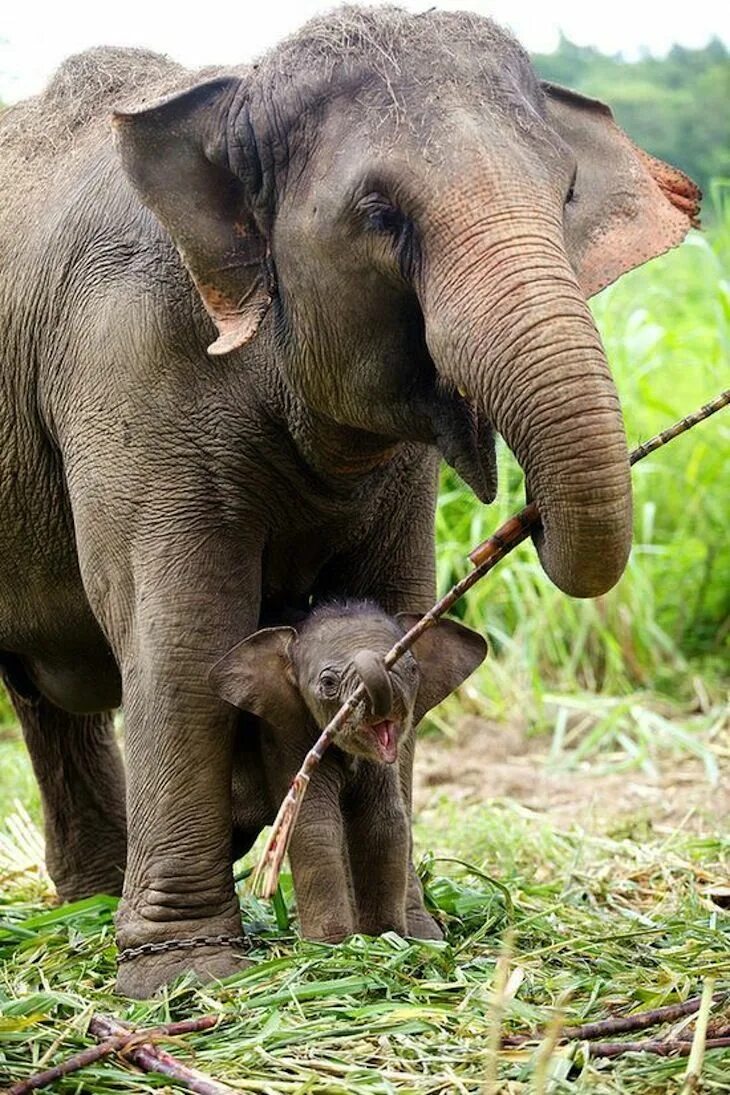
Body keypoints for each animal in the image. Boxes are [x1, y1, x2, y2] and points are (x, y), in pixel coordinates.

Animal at [210, 600, 485, 941]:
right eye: (328, 683)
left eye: (412, 669)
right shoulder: (288, 734)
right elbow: (314, 825)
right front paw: (333, 945)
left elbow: (384, 822)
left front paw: (385, 938)